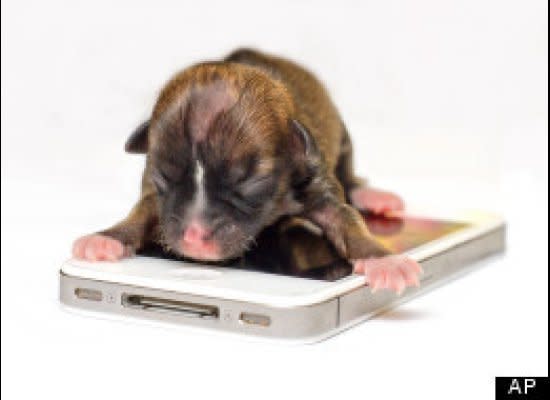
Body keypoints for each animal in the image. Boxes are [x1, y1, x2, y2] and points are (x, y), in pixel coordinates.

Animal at [73, 49, 422, 294]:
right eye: (163, 176)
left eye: (249, 182)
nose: (193, 237)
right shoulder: (155, 194)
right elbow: (142, 212)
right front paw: (107, 238)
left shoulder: (314, 180)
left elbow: (347, 221)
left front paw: (385, 262)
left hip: (343, 137)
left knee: (350, 174)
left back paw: (374, 196)